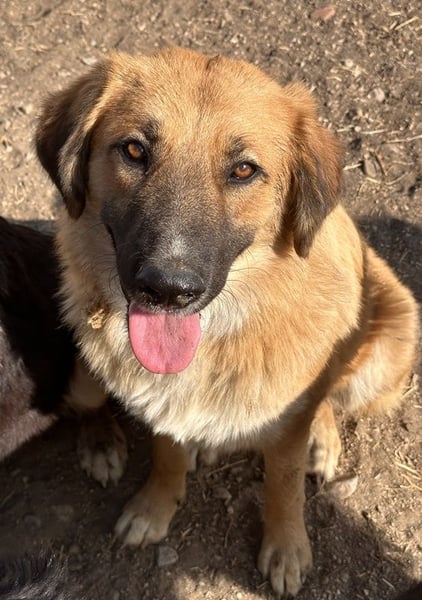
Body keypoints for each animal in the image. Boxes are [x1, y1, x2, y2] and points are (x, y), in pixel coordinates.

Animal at [35, 48, 418, 597]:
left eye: (243, 169)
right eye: (133, 150)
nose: (167, 290)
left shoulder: (289, 420)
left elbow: (284, 484)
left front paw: (286, 547)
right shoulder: (160, 403)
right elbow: (166, 453)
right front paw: (156, 506)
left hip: (384, 352)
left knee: (330, 396)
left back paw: (320, 441)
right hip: (84, 374)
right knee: (89, 405)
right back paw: (106, 443)